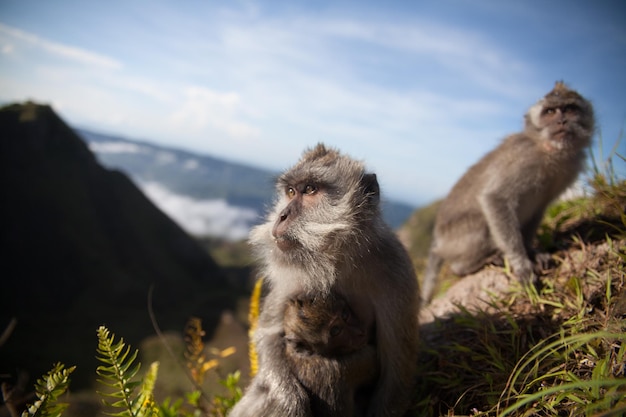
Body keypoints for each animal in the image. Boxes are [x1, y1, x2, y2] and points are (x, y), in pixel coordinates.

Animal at [227, 144, 416, 416]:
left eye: (310, 189)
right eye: (290, 191)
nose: (281, 215)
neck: (339, 261)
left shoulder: (396, 273)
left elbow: (396, 380)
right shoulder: (293, 277)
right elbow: (268, 334)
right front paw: (290, 399)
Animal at [422, 81, 592, 302]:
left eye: (570, 109)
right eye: (550, 112)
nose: (562, 121)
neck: (549, 151)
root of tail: (438, 241)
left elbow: (539, 210)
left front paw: (531, 251)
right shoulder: (523, 158)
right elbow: (495, 198)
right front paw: (522, 263)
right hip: (455, 240)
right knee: (482, 226)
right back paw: (466, 266)